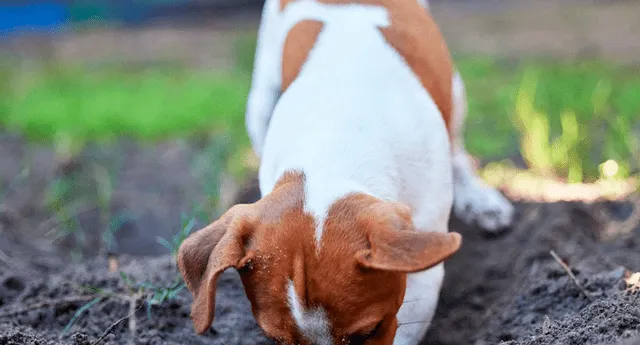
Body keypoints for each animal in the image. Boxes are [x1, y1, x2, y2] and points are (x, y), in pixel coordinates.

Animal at [176, 0, 516, 344]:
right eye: (277, 340)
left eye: (369, 331)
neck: (331, 147)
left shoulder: (423, 273)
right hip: (260, 102)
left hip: (455, 92)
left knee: (457, 146)